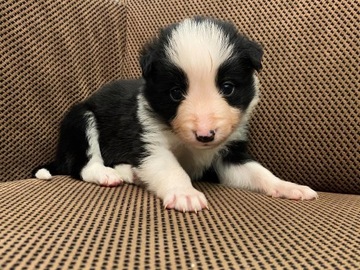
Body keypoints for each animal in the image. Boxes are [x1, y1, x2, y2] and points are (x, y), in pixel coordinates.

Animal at [33, 17, 316, 213]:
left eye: (228, 88)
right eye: (176, 93)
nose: (205, 135)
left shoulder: (230, 154)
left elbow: (259, 172)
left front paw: (288, 186)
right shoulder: (150, 142)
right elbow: (171, 169)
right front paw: (185, 193)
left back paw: (130, 173)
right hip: (80, 119)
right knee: (82, 165)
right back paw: (106, 174)